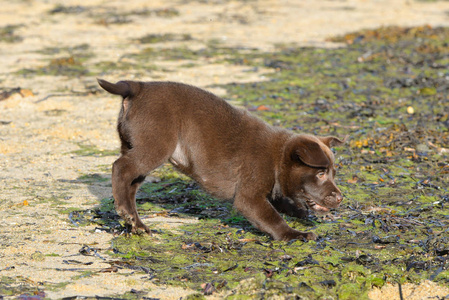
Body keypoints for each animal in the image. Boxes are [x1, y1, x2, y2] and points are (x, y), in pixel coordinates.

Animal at [97, 79, 344, 241]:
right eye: (320, 173)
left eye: (333, 173)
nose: (341, 198)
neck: (278, 157)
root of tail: (138, 86)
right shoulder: (249, 197)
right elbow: (272, 219)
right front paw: (294, 234)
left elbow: (282, 203)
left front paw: (301, 213)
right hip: (154, 147)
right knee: (120, 167)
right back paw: (125, 212)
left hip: (136, 147)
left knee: (130, 184)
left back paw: (135, 223)